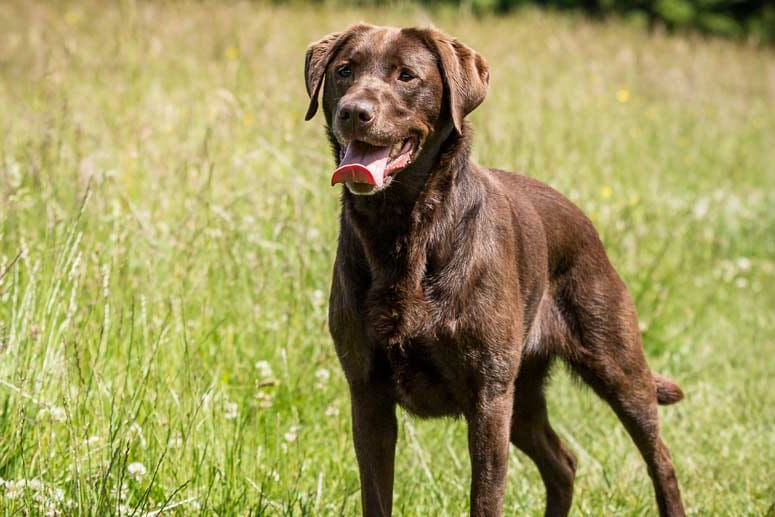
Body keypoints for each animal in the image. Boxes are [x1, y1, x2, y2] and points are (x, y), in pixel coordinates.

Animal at [306, 24, 688, 516]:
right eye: (344, 71)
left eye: (407, 75)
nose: (354, 112)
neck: (405, 229)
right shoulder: (367, 394)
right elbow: (376, 495)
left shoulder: (488, 398)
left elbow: (486, 498)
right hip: (522, 395)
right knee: (563, 462)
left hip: (615, 368)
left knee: (660, 459)